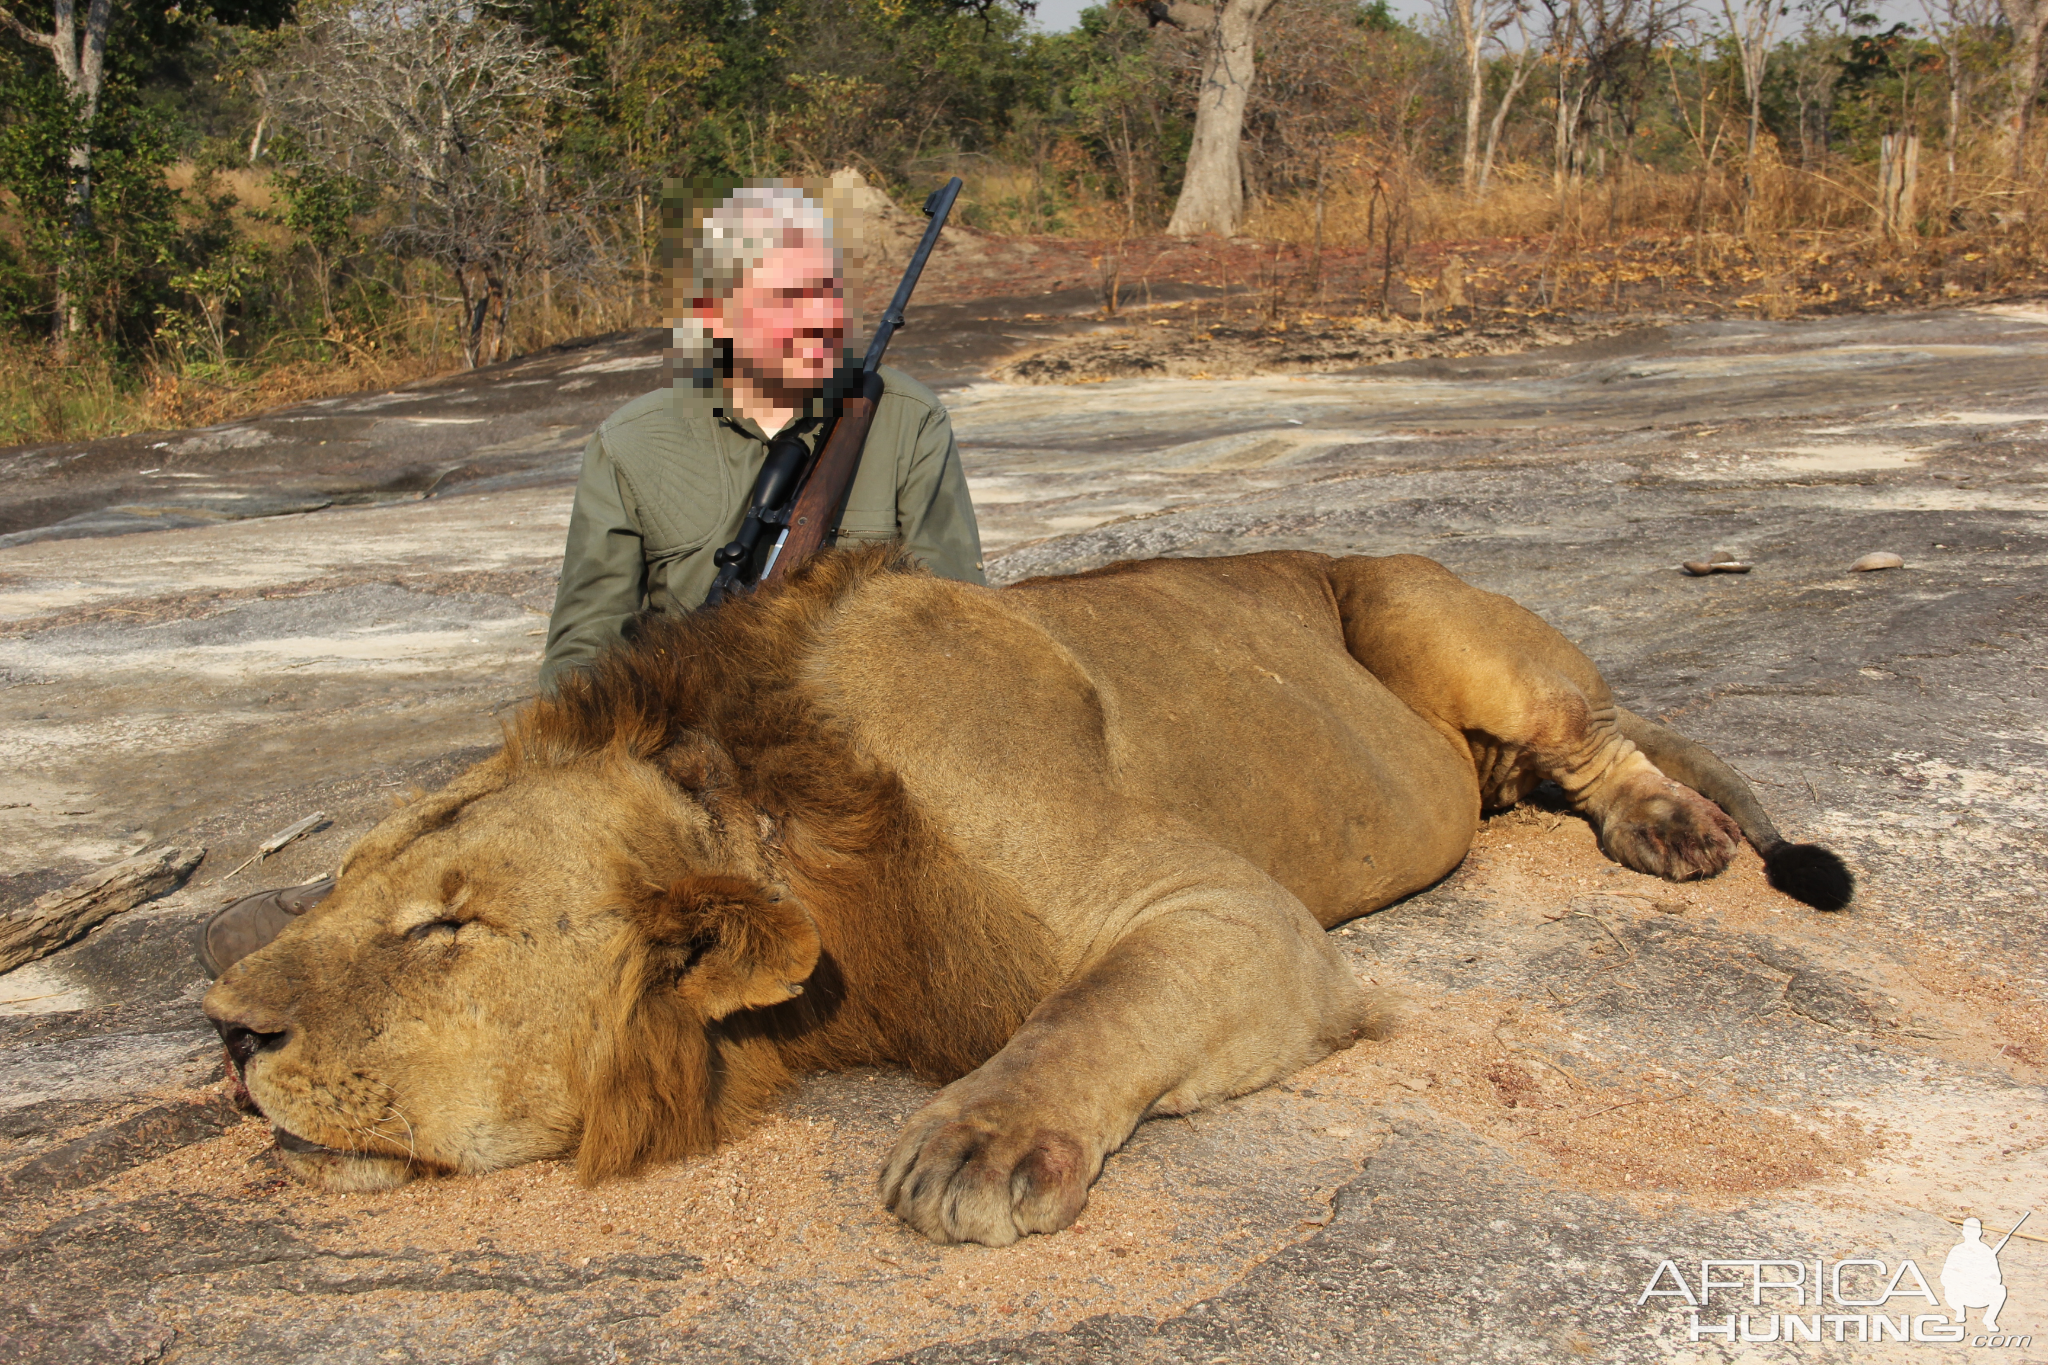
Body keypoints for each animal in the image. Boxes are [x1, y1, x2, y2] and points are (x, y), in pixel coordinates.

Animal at [199, 548, 1851, 1252]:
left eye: (446, 926)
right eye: (342, 886)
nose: (221, 1033)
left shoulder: (1228, 911)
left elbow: (1087, 1011)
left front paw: (979, 1148)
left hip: (1424, 609)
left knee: (1601, 735)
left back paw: (1670, 827)